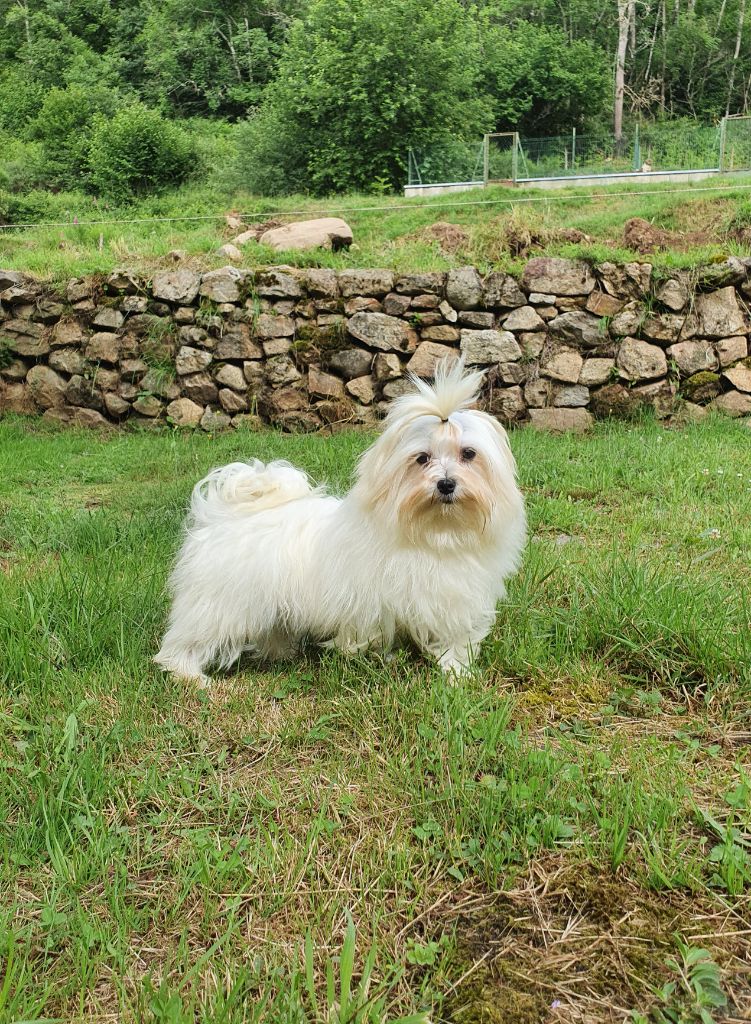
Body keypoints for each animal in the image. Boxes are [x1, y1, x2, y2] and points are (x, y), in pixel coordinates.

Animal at [155, 356, 524, 684]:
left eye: (468, 454)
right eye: (422, 458)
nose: (446, 483)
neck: (435, 534)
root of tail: (224, 513)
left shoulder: (455, 598)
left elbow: (456, 639)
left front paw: (457, 672)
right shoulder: (371, 602)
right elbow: (365, 633)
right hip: (220, 604)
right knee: (186, 641)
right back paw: (188, 675)